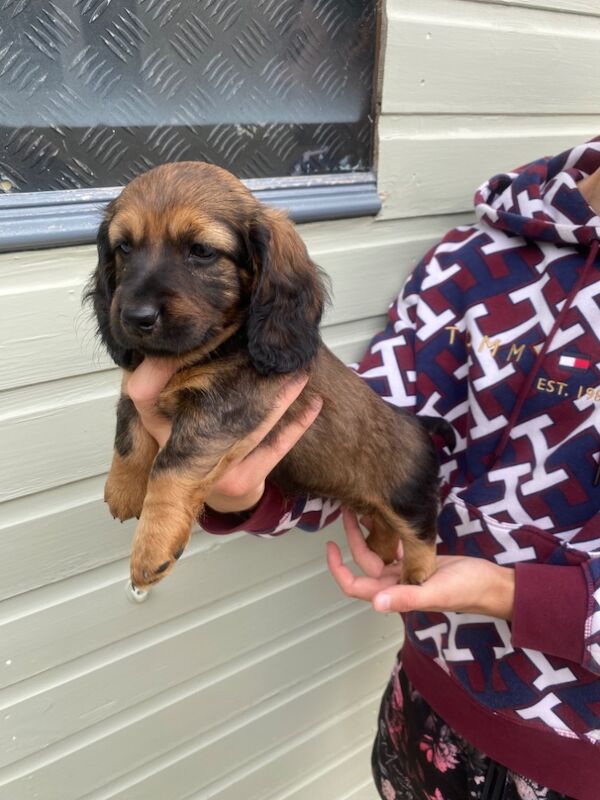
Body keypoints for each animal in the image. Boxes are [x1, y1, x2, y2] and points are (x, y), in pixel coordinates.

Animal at [88, 162, 450, 592]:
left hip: (406, 501)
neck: (197, 354)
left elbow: (170, 465)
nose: (134, 318)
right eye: (124, 247)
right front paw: (123, 490)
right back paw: (380, 551)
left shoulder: (224, 407)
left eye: (202, 251)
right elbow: (128, 433)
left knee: (422, 534)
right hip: (372, 504)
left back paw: (418, 577)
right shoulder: (135, 386)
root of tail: (421, 427)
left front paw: (151, 547)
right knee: (383, 525)